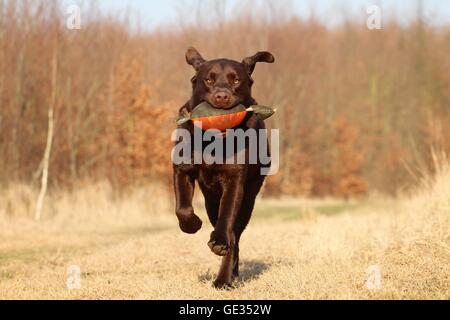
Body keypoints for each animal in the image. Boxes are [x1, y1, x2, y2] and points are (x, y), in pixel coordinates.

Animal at [173, 47, 274, 288]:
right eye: (208, 80)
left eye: (236, 80)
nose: (221, 96)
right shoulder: (182, 169)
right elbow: (182, 208)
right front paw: (192, 225)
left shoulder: (235, 181)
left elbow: (227, 218)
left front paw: (218, 242)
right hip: (211, 200)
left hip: (249, 198)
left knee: (234, 235)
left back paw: (225, 279)